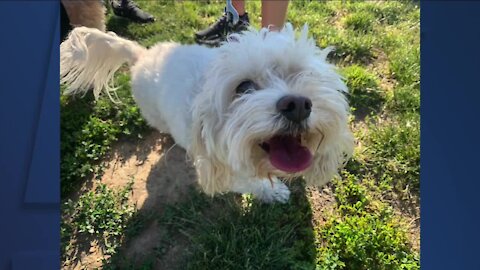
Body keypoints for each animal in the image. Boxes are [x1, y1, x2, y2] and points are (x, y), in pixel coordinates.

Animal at [60, 24, 354, 204]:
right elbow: (253, 183)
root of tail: (142, 54)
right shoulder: (227, 169)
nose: (298, 104)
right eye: (243, 87)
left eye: (303, 74)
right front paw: (274, 191)